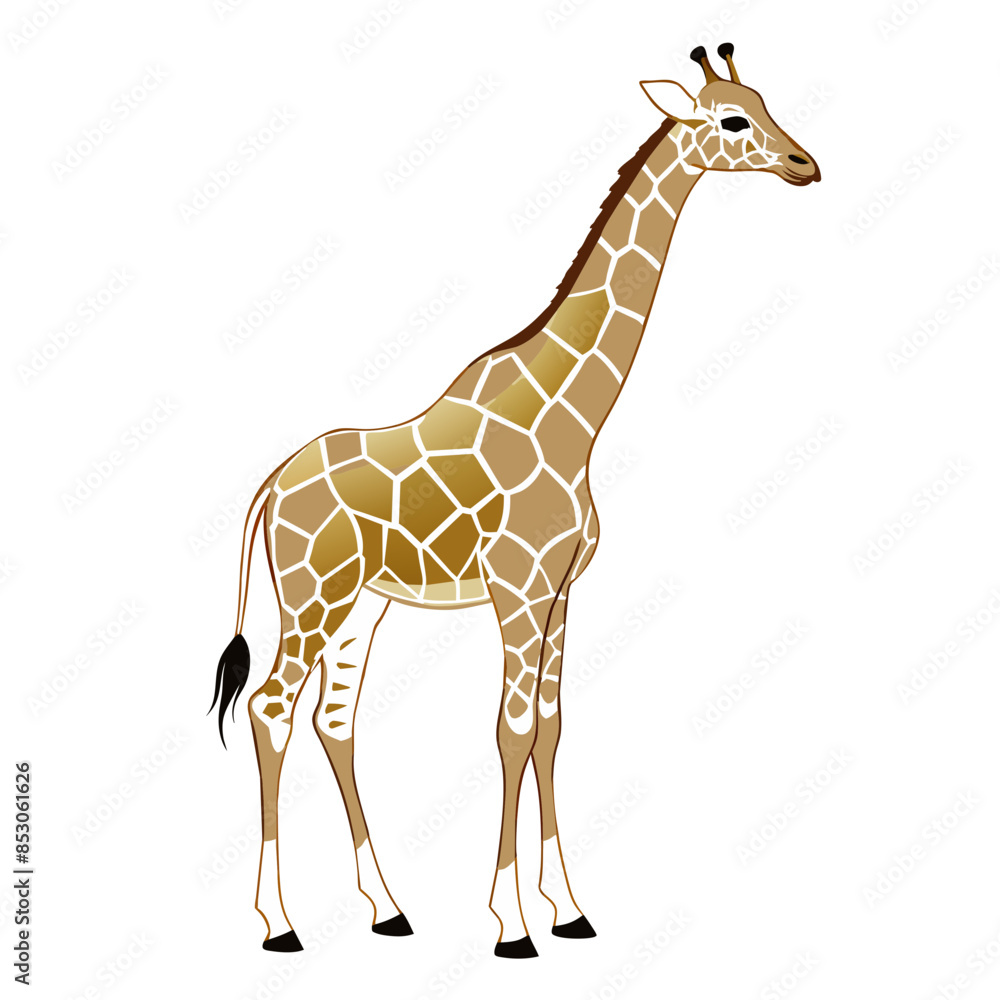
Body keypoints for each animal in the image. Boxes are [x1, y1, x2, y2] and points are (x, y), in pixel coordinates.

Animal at [209, 43, 820, 959]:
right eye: (733, 118)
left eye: (765, 100)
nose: (805, 164)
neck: (570, 415)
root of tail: (270, 486)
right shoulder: (519, 589)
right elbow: (512, 731)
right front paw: (511, 925)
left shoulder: (562, 591)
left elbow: (553, 731)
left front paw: (569, 910)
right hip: (313, 597)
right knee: (271, 709)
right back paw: (279, 923)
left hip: (361, 605)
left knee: (334, 720)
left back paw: (388, 908)